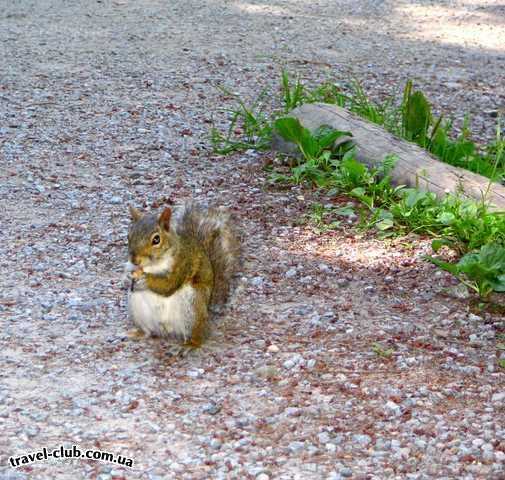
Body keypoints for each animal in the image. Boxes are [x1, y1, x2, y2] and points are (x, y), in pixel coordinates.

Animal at [124, 201, 238, 350]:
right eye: (129, 236)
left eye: (156, 239)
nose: (134, 260)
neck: (153, 266)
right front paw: (128, 277)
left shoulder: (183, 264)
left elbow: (168, 284)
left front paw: (145, 279)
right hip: (138, 309)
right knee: (149, 332)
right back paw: (138, 333)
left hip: (192, 307)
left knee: (197, 335)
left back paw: (190, 345)